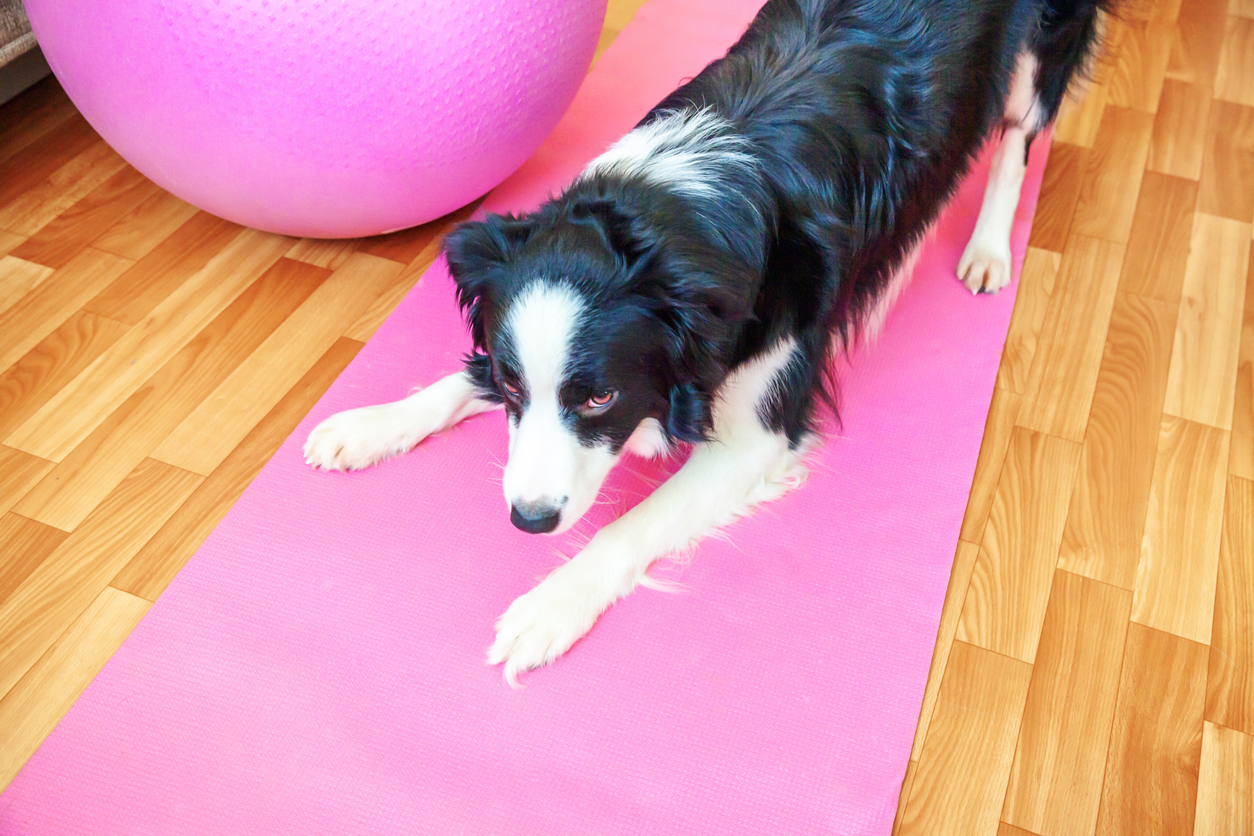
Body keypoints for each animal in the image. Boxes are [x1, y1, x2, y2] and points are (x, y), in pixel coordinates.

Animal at [303, 0, 1108, 681]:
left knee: (1019, 135)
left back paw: (989, 247)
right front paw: (367, 426)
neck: (670, 220)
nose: (530, 521)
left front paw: (550, 606)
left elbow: (630, 525)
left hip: (1039, 48)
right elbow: (458, 379)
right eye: (509, 384)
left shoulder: (763, 426)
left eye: (601, 397)